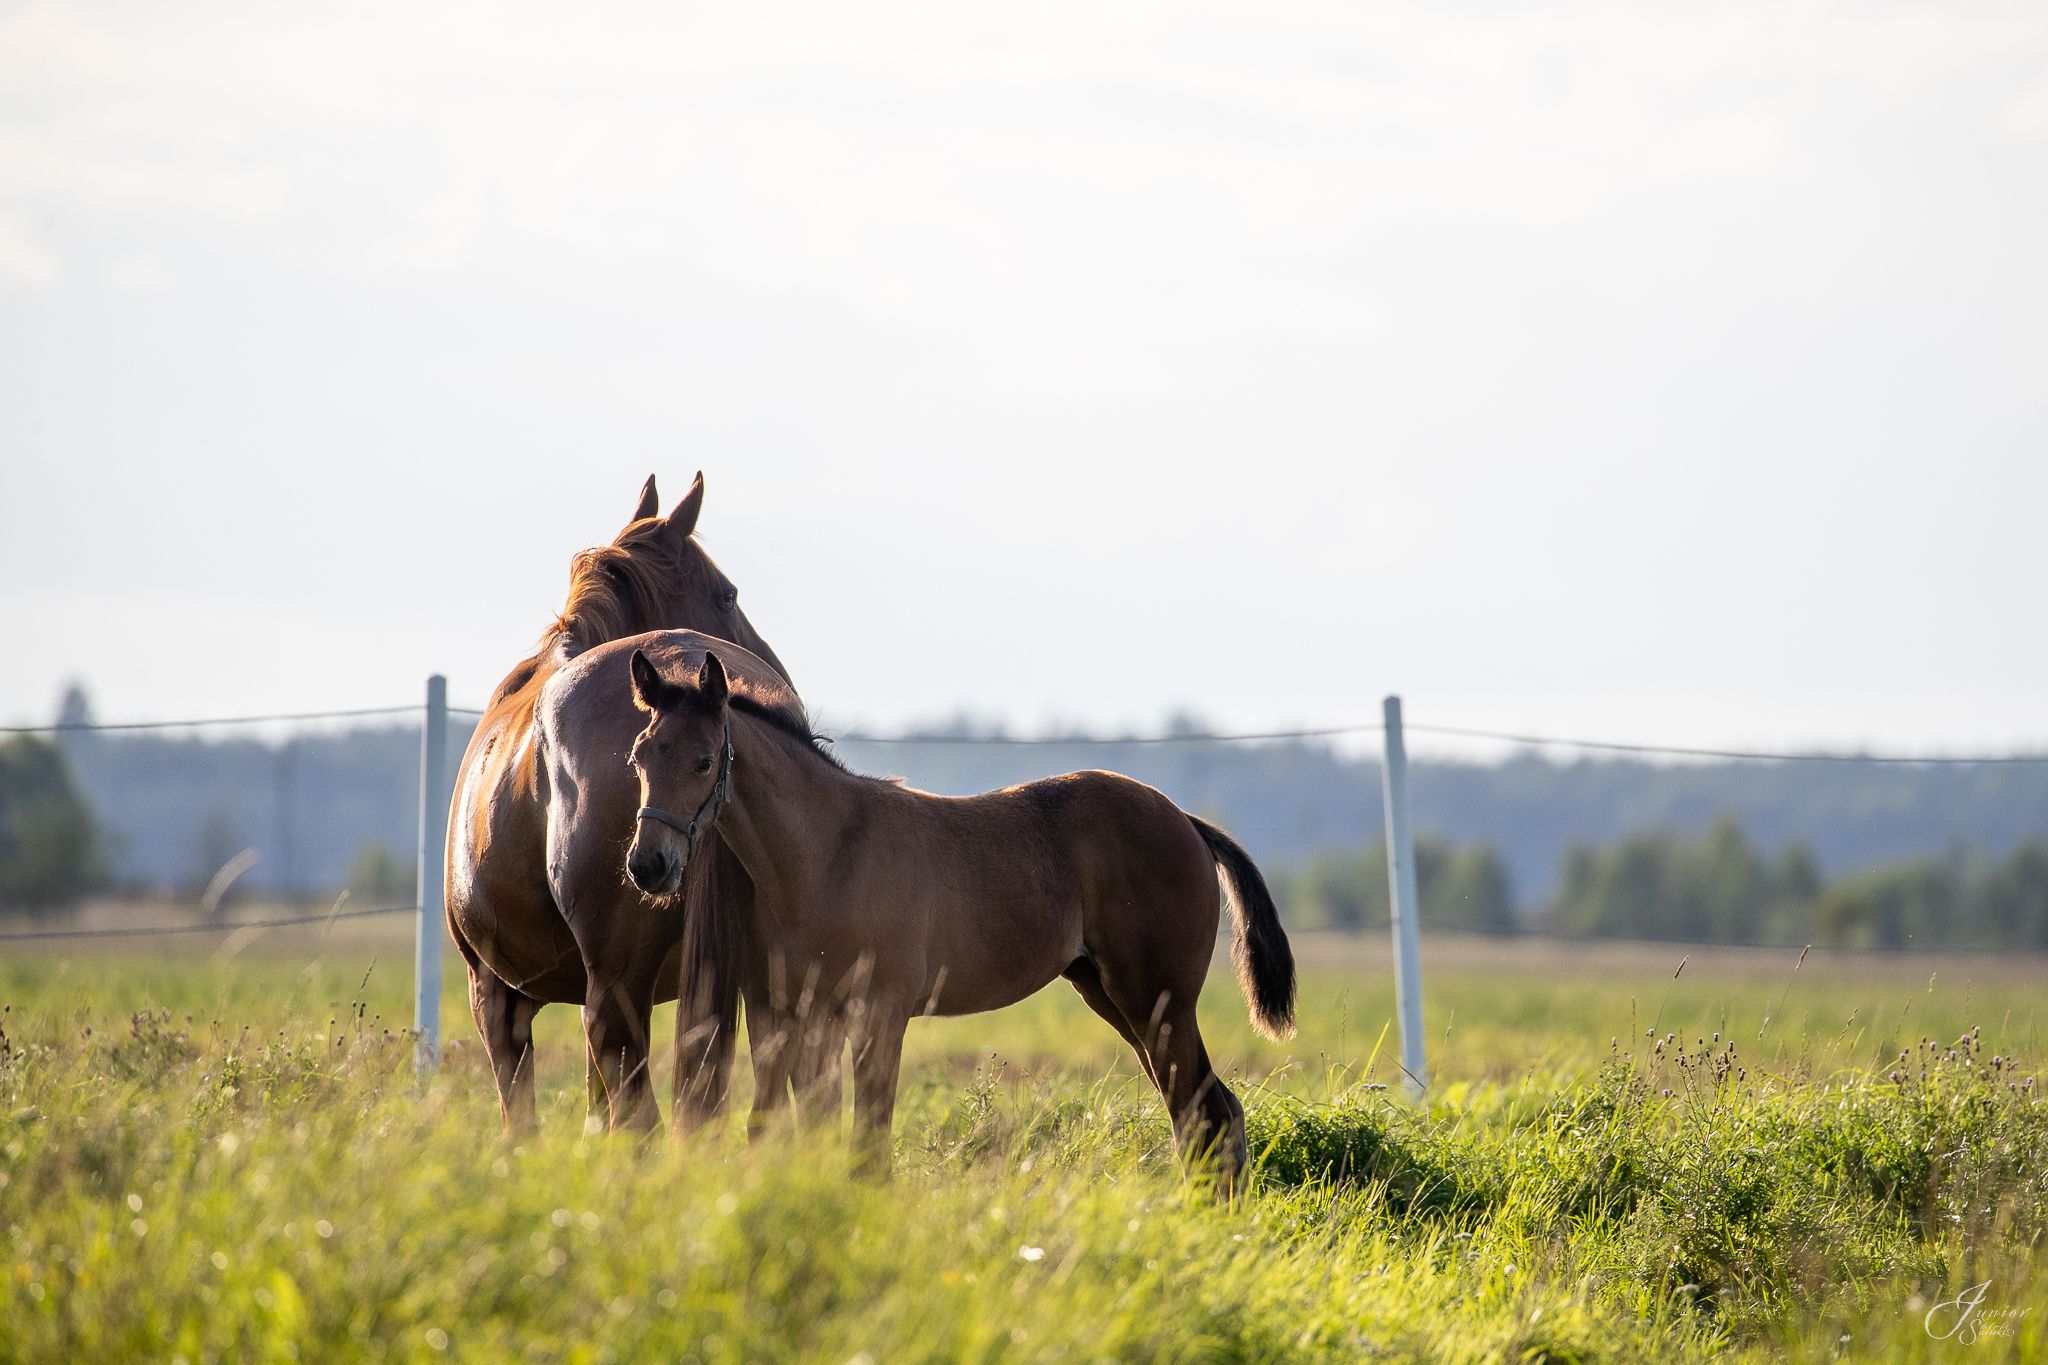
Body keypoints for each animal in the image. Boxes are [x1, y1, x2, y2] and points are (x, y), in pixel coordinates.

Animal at [620, 647, 1298, 1194]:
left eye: (704, 760)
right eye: (639, 757)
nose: (649, 865)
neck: (827, 855)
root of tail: (1187, 822)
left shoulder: (880, 1015)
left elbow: (869, 1145)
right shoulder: (797, 1015)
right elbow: (804, 1130)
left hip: (1157, 998)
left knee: (1206, 1113)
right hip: (1111, 995)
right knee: (1208, 1109)